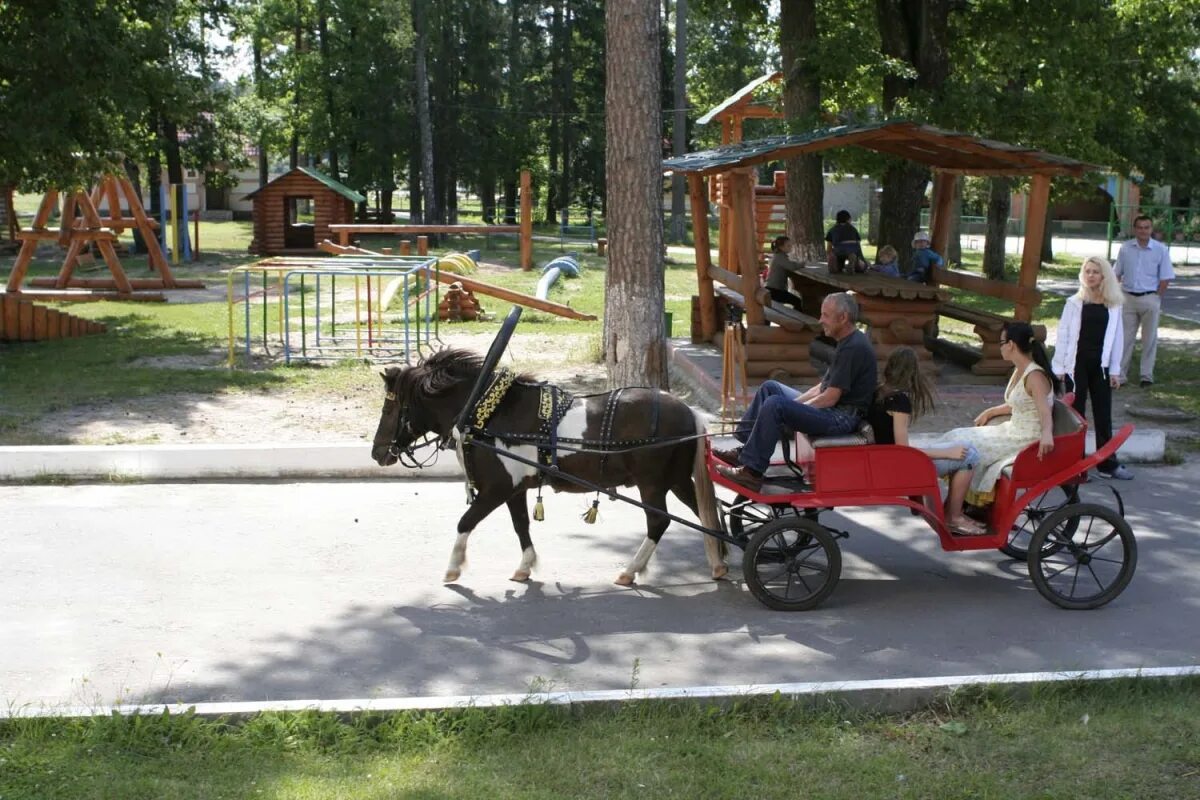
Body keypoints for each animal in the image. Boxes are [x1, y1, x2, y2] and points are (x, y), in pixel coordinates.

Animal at [367, 350, 720, 587]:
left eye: (390, 407)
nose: (377, 452)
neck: (489, 414)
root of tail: (690, 412)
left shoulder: (497, 488)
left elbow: (465, 521)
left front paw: (453, 567)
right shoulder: (514, 489)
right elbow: (521, 525)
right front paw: (525, 565)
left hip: (652, 482)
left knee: (659, 521)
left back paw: (630, 570)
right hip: (677, 479)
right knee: (706, 513)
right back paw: (719, 562)